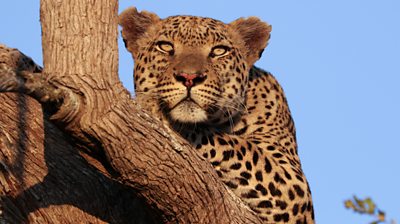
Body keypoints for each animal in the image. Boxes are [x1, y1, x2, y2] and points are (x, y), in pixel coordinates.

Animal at [120, 7, 314, 224]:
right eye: (165, 46)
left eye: (219, 51)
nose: (189, 78)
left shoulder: (292, 182)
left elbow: (235, 146)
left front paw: (151, 105)